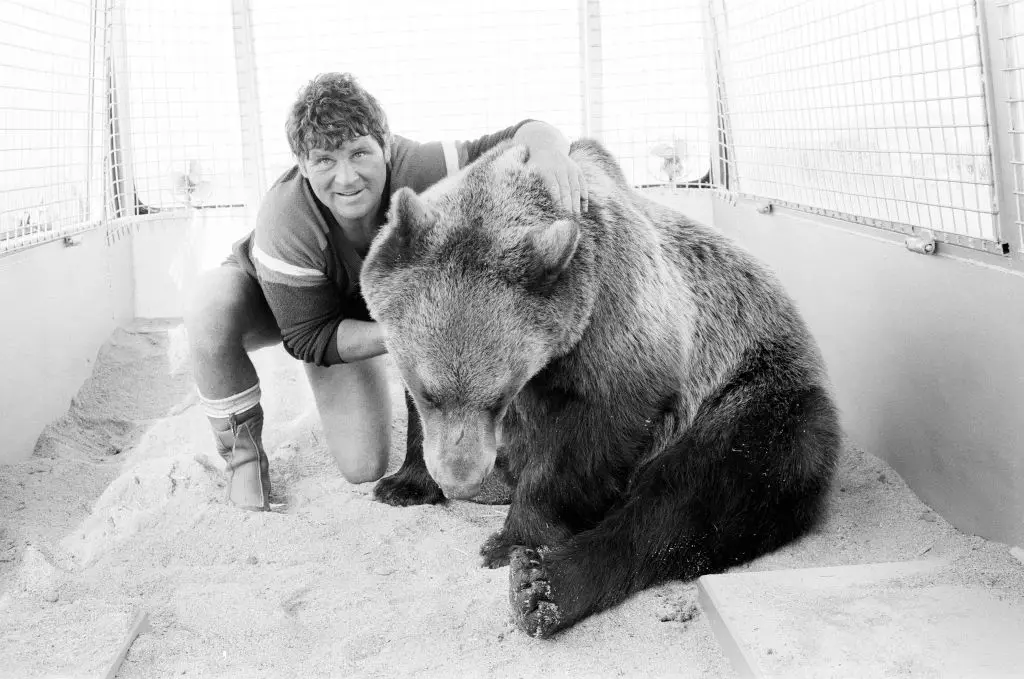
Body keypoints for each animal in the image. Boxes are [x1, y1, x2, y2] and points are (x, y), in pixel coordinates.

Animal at [360, 138, 842, 638]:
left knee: (696, 496)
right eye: (427, 391)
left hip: (756, 397)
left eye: (498, 399)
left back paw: (544, 585)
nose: (460, 477)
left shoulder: (618, 324)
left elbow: (587, 442)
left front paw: (513, 540)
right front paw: (403, 485)